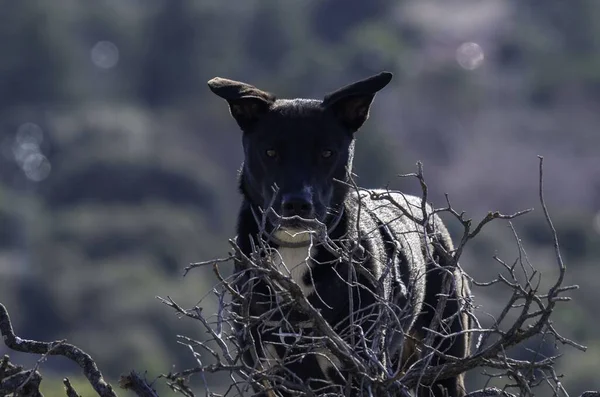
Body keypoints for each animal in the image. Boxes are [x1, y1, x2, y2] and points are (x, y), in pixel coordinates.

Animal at [209, 72, 472, 396]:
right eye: (270, 152)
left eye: (327, 153)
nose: (297, 204)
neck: (296, 249)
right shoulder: (266, 372)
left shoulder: (362, 367)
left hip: (441, 362)